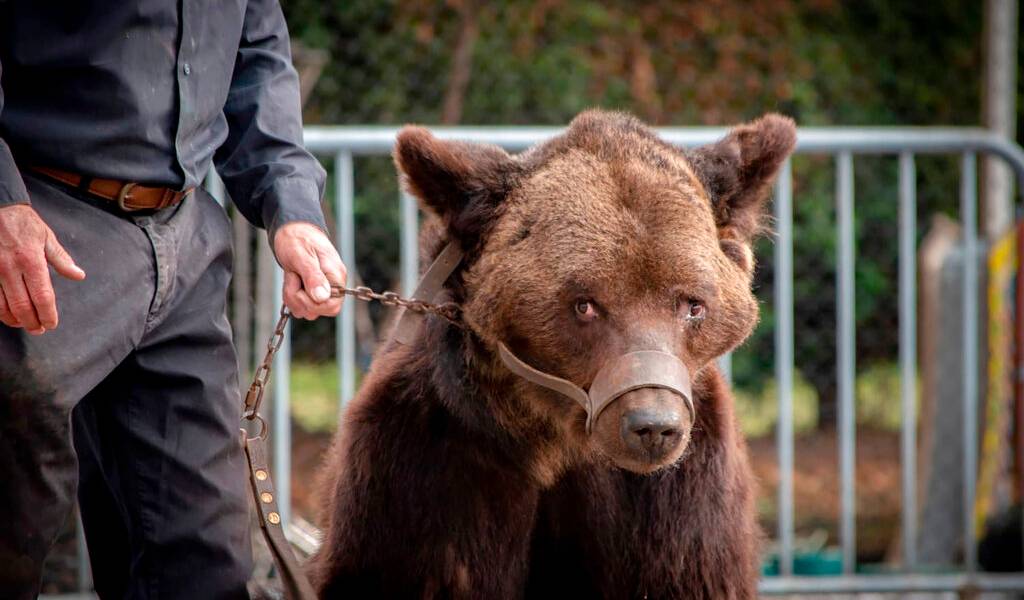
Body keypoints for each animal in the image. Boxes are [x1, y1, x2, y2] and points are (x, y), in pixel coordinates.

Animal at [308, 109, 796, 599]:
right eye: (585, 304)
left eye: (693, 304)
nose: (653, 426)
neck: (554, 443)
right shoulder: (430, 459)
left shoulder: (679, 494)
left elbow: (685, 571)